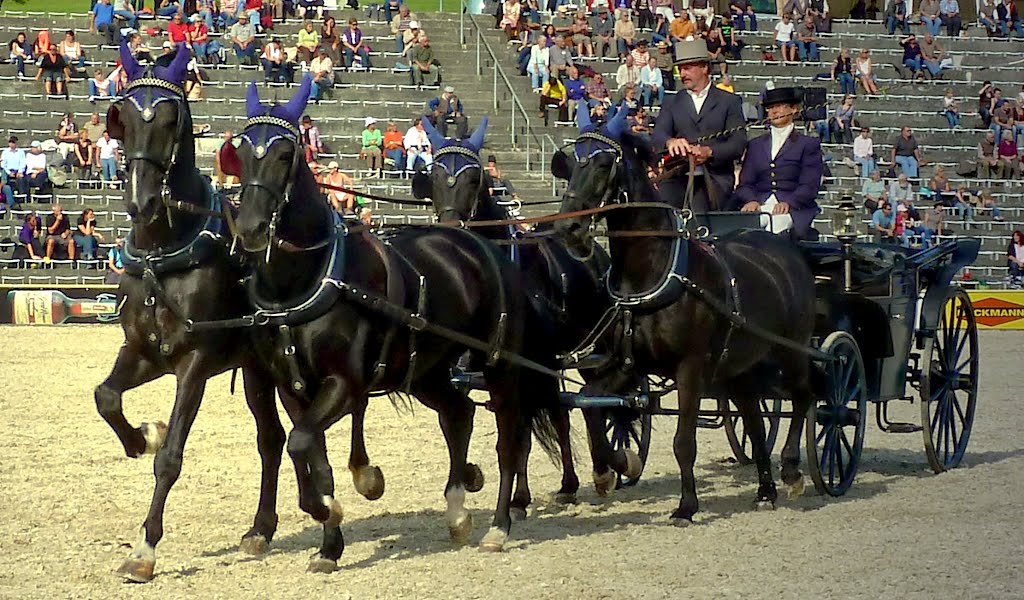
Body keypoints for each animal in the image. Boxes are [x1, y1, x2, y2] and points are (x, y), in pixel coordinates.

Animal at [96, 43, 288, 577]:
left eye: (169, 120)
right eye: (123, 118)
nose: (140, 202)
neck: (163, 252)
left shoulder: (194, 365)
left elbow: (171, 457)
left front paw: (144, 549)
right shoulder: (143, 351)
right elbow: (106, 397)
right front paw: (141, 436)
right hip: (256, 371)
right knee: (272, 439)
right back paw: (262, 528)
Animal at [226, 79, 561, 565]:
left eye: (286, 153)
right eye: (241, 151)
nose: (250, 228)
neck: (308, 278)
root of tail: (483, 245)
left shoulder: (343, 382)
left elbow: (300, 444)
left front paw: (331, 508)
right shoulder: (294, 386)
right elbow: (309, 451)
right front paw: (329, 539)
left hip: (499, 365)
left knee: (508, 442)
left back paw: (499, 524)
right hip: (426, 371)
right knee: (459, 414)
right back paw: (457, 511)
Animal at [411, 120, 643, 499]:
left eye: (474, 179)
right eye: (434, 178)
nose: (449, 231)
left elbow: (520, 433)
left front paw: (517, 497)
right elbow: (462, 418)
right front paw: (477, 478)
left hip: (593, 348)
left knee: (597, 402)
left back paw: (605, 468)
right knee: (562, 412)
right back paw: (569, 483)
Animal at [552, 109, 815, 520]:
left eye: (603, 163)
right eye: (569, 163)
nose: (569, 226)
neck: (651, 272)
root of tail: (782, 249)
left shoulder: (689, 368)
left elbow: (683, 442)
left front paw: (686, 505)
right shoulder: (629, 365)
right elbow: (593, 407)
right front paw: (613, 467)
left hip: (792, 350)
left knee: (804, 397)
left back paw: (790, 471)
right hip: (740, 365)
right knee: (754, 420)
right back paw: (765, 490)